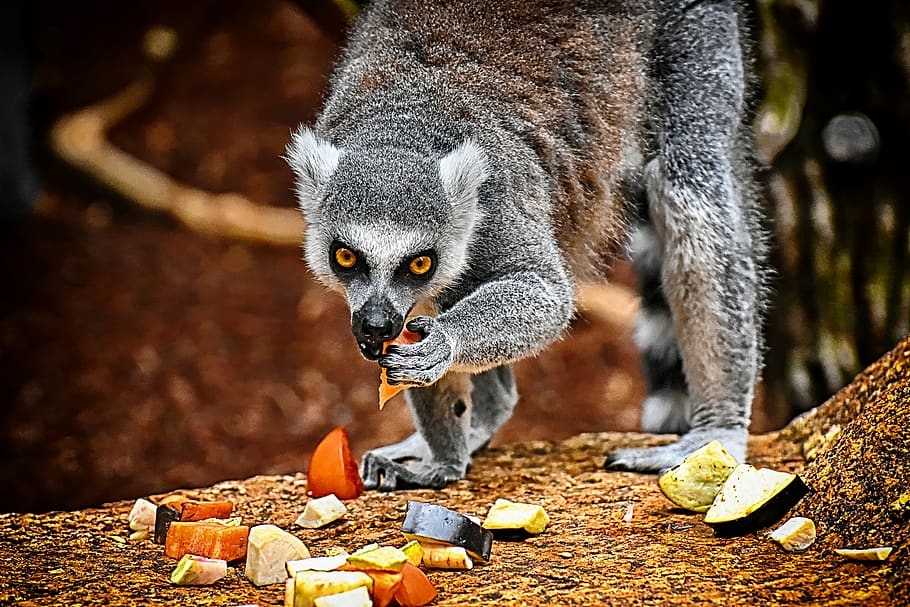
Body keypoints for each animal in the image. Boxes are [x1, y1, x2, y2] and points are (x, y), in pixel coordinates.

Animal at [286, 0, 767, 490]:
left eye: (419, 263)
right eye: (346, 256)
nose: (376, 325)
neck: (402, 122)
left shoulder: (493, 206)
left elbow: (546, 294)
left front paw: (443, 345)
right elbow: (427, 309)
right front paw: (444, 451)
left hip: (692, 34)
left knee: (690, 186)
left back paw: (719, 429)